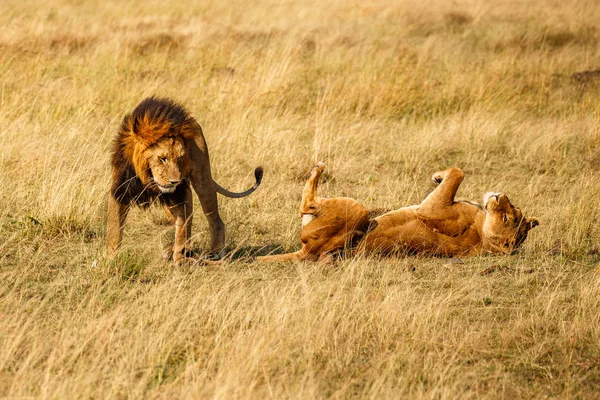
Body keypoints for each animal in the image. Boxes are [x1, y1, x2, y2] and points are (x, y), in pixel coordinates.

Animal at [108, 97, 262, 262]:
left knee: (215, 220)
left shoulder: (182, 192)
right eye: (162, 158)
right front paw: (112, 257)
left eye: (181, 158)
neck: (148, 177)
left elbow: (183, 226)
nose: (175, 181)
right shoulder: (120, 190)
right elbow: (114, 227)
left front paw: (180, 257)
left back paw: (213, 252)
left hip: (202, 180)